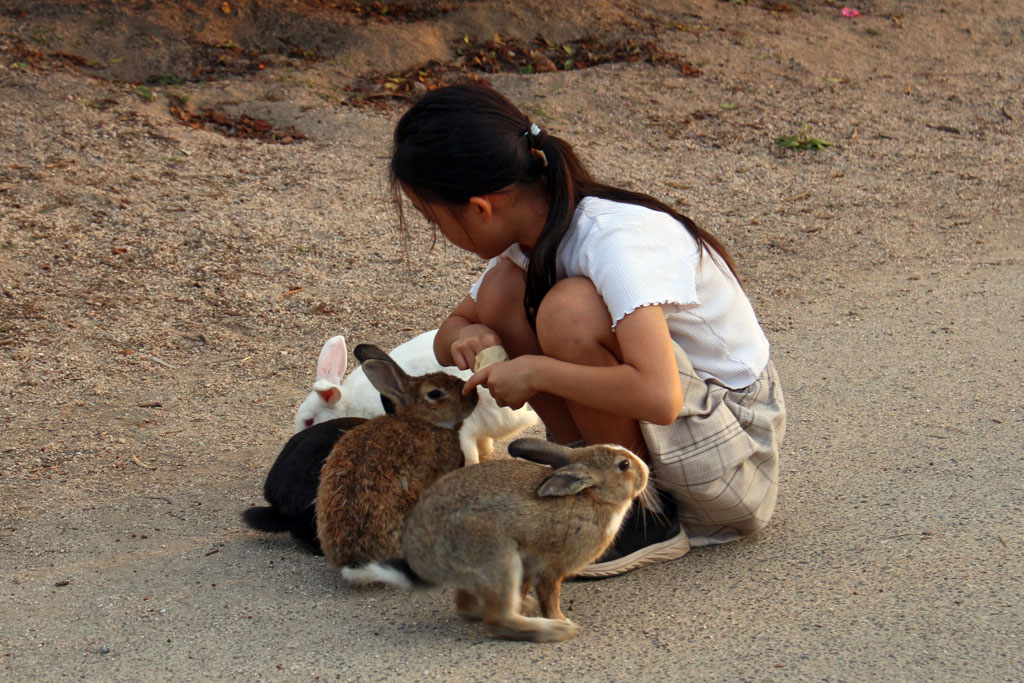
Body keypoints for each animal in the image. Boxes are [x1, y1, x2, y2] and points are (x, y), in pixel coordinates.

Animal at [342, 437, 651, 643]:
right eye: (624, 465)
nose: (646, 471)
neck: (592, 497)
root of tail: (424, 562)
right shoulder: (549, 568)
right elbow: (550, 597)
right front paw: (561, 620)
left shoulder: (529, 565)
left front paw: (531, 604)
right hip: (496, 556)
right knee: (496, 621)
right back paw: (554, 631)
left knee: (468, 606)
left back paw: (522, 608)